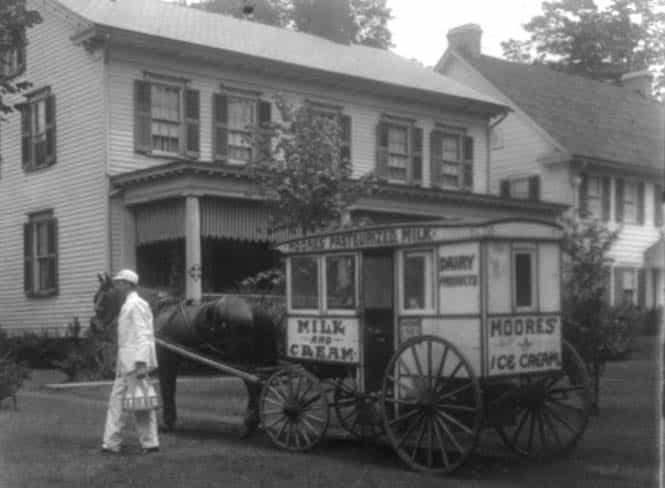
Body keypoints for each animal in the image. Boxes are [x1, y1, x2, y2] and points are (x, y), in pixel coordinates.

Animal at [92, 272, 278, 436]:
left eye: (102, 295)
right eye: (95, 296)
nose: (94, 326)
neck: (156, 311)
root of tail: (255, 309)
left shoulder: (166, 360)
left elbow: (168, 389)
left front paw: (168, 422)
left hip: (244, 363)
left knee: (254, 388)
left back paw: (249, 425)